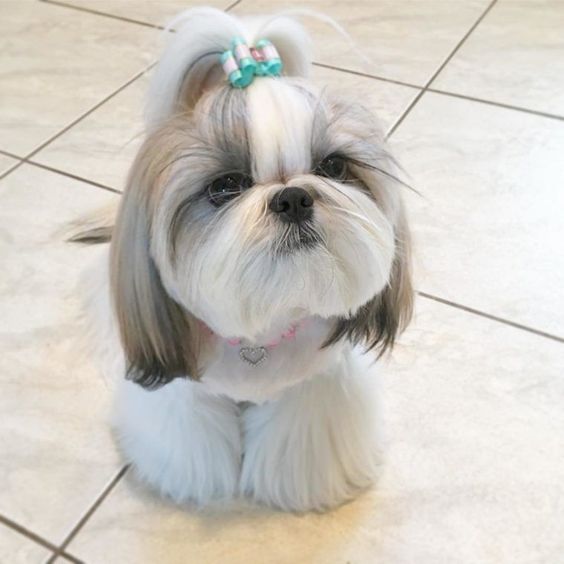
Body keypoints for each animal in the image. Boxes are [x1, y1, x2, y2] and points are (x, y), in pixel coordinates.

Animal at [77, 6, 412, 512]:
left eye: (334, 167)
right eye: (225, 186)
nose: (293, 198)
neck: (263, 330)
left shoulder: (315, 384)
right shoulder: (186, 395)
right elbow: (193, 441)